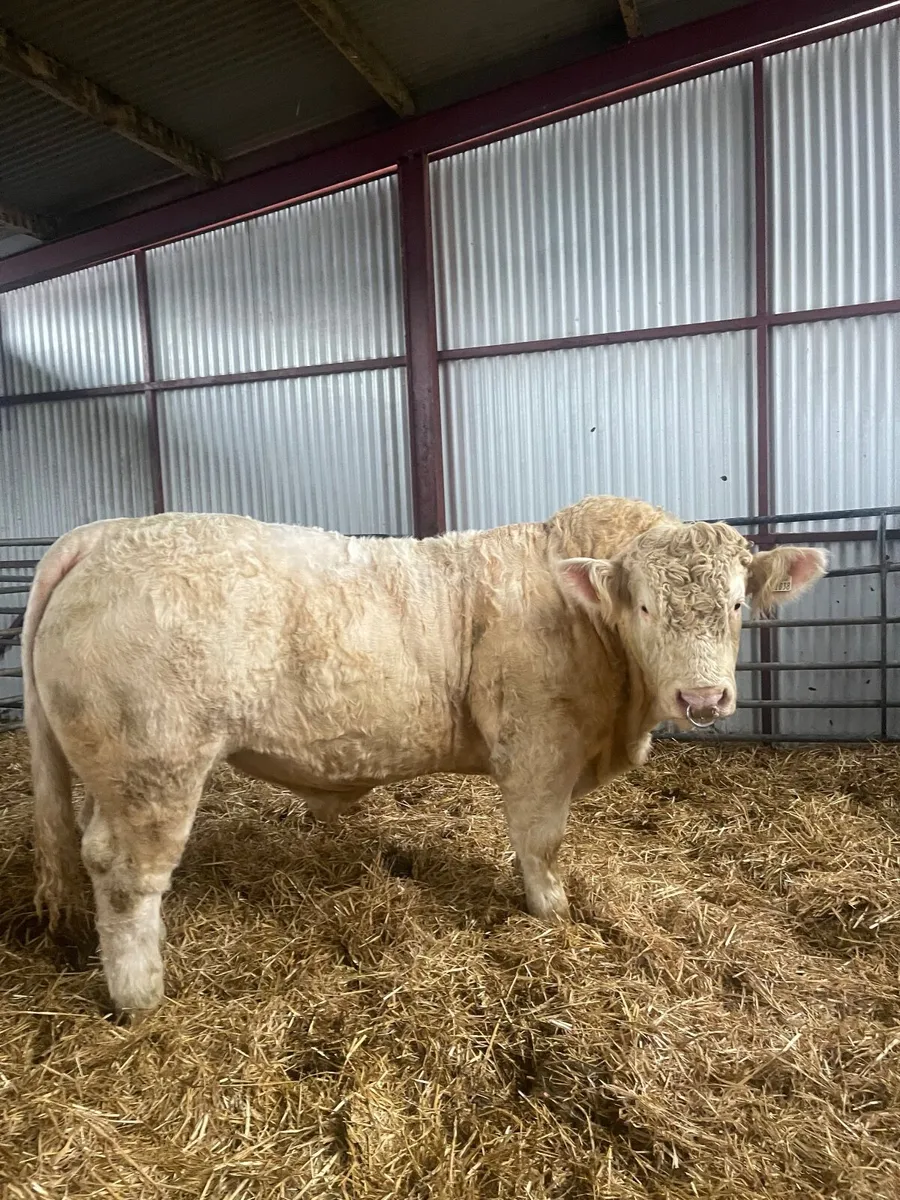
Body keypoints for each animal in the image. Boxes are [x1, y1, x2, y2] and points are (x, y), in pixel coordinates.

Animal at [21, 496, 826, 1018]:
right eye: (647, 607)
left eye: (735, 605)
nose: (702, 696)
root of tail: (104, 534)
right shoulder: (538, 745)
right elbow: (541, 842)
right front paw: (554, 918)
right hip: (154, 762)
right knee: (128, 875)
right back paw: (142, 997)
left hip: (107, 768)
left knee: (90, 847)